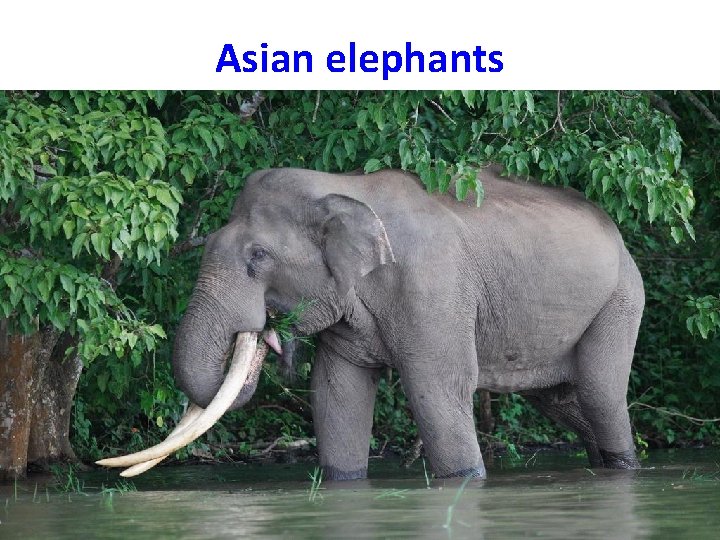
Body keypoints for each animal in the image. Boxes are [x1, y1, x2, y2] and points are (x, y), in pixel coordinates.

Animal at [100, 164, 644, 480]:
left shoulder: (434, 289)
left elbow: (436, 388)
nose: (265, 335)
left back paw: (624, 468)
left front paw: (465, 481)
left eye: (258, 256)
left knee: (598, 390)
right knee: (562, 400)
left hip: (621, 300)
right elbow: (337, 392)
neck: (343, 187)